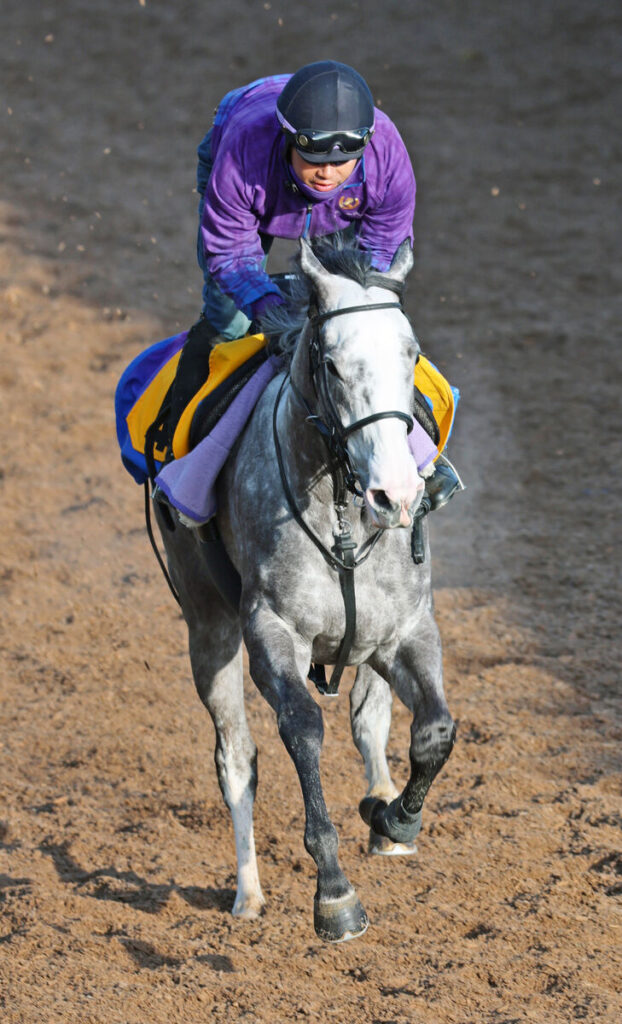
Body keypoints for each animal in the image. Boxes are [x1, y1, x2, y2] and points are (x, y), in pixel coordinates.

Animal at [152, 235, 456, 942]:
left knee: (370, 717)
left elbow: (434, 729)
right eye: (334, 364)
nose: (396, 494)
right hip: (208, 628)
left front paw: (394, 817)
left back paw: (383, 809)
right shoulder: (271, 632)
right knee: (237, 760)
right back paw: (248, 893)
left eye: (411, 355)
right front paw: (335, 895)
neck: (342, 515)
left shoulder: (407, 629)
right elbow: (301, 729)